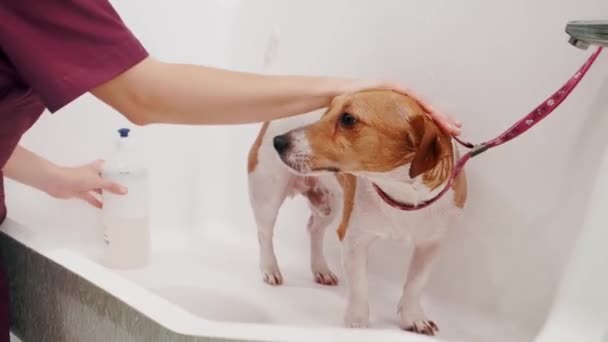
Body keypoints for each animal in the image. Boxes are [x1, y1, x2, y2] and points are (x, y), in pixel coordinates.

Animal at [246, 89, 466, 336]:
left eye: (348, 119)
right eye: (327, 110)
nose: (279, 141)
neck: (403, 196)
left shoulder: (430, 245)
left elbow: (415, 284)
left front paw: (413, 318)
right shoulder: (354, 240)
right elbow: (360, 286)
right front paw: (357, 324)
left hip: (331, 204)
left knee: (314, 228)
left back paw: (320, 269)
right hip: (266, 194)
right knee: (264, 233)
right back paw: (269, 268)